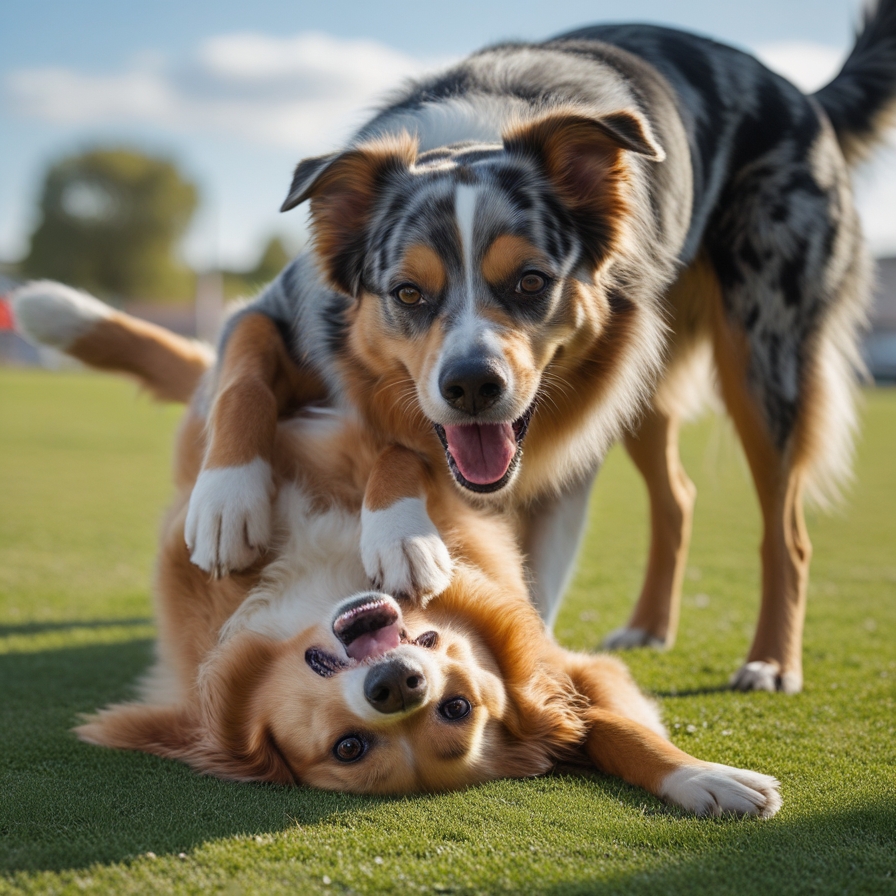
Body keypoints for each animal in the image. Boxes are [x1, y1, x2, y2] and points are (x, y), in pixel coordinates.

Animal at [15, 286, 784, 812]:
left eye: (457, 711)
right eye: (348, 747)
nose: (398, 686)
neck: (324, 580)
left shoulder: (570, 667)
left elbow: (618, 729)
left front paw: (704, 778)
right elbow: (276, 379)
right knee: (238, 358)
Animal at [178, 5, 892, 692]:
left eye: (531, 281)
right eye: (407, 293)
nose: (471, 385)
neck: (465, 143)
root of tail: (805, 96)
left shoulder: (559, 468)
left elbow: (413, 457)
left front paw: (401, 535)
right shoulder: (271, 307)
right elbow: (246, 375)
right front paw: (225, 503)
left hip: (762, 358)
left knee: (787, 535)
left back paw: (771, 662)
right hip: (646, 384)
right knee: (678, 497)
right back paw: (648, 627)